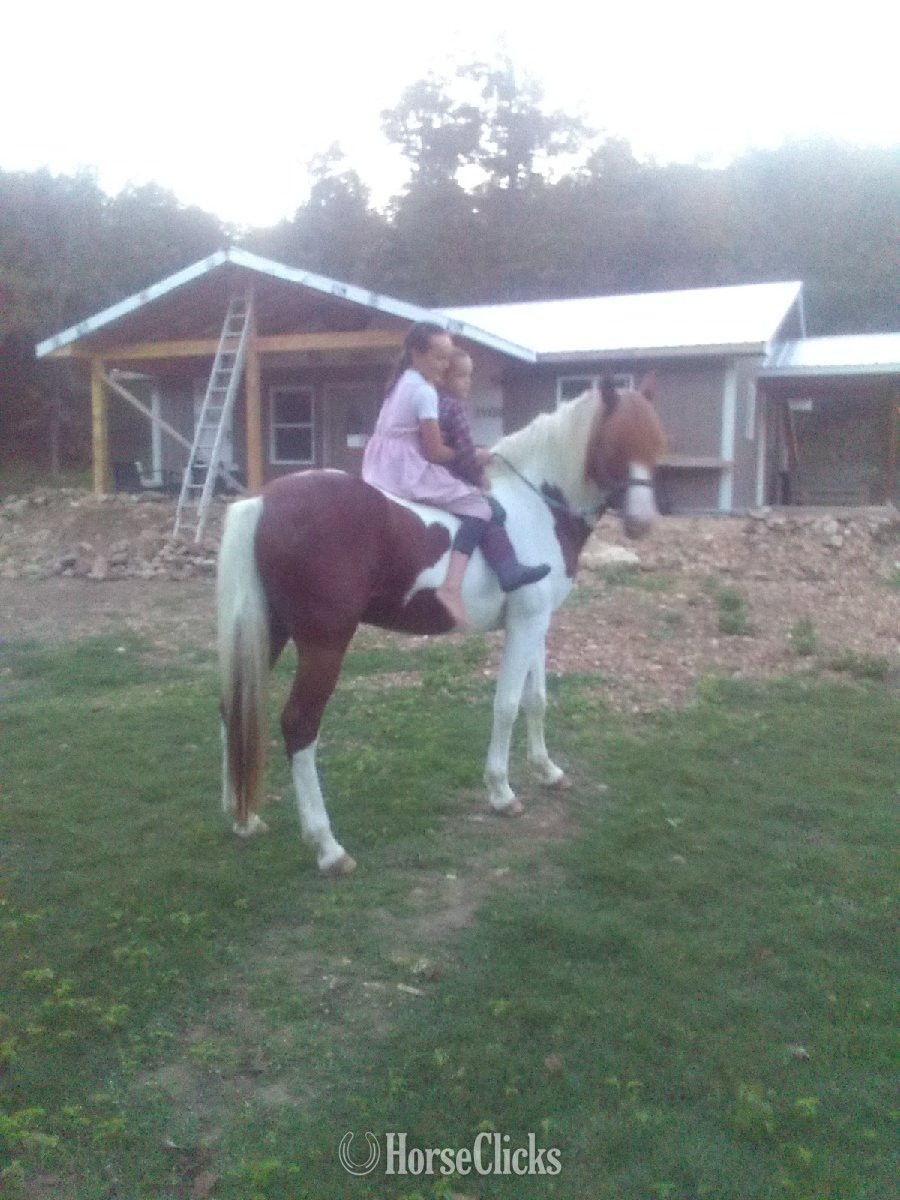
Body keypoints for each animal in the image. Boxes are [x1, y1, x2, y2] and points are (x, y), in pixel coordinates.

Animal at [216, 377, 667, 874]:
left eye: (656, 442)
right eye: (613, 443)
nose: (642, 522)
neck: (535, 507)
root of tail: (264, 501)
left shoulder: (536, 623)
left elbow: (536, 700)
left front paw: (547, 772)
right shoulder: (525, 624)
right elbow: (507, 705)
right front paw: (501, 792)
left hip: (269, 631)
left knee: (232, 705)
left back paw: (241, 816)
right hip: (323, 644)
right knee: (299, 725)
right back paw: (327, 847)